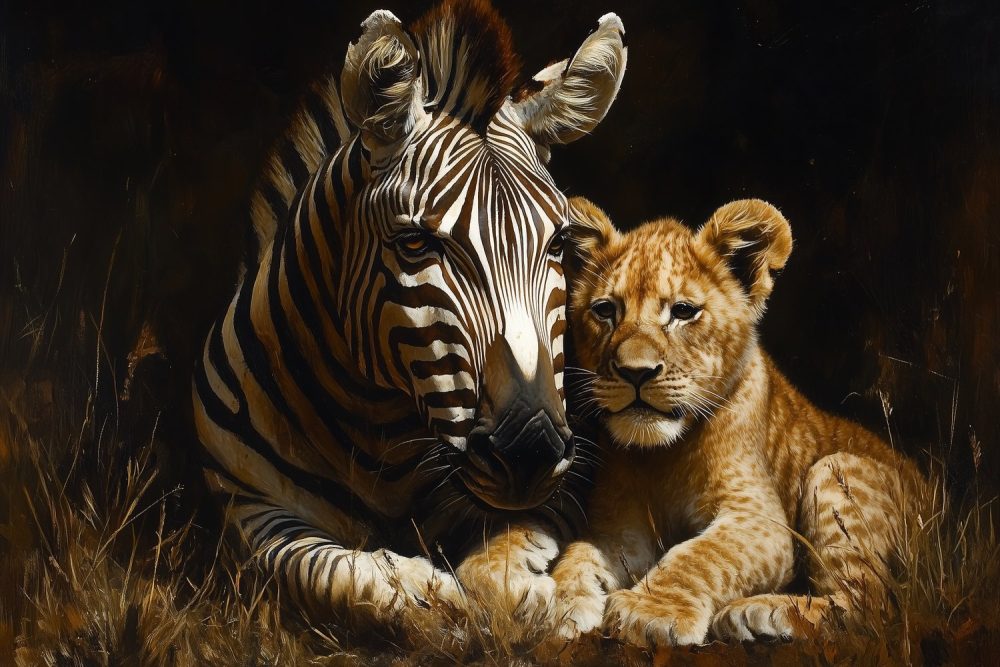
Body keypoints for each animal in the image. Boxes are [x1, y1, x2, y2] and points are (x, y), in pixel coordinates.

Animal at [192, 0, 626, 628]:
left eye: (559, 244)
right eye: (415, 244)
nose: (532, 448)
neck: (374, 431)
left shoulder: (565, 488)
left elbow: (507, 558)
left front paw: (538, 598)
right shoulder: (249, 510)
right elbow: (333, 573)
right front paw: (430, 594)